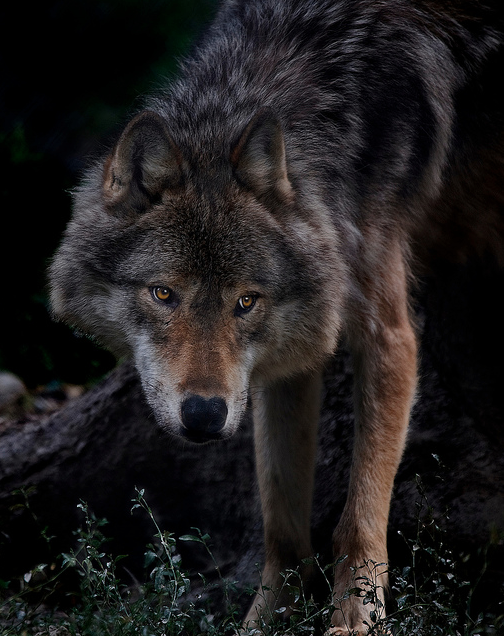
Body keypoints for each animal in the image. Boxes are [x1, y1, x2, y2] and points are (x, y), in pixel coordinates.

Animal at [48, 1, 504, 632]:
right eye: (163, 294)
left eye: (246, 301)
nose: (204, 414)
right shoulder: (293, 356)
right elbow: (282, 524)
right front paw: (266, 620)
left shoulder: (388, 335)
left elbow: (359, 516)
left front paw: (356, 620)